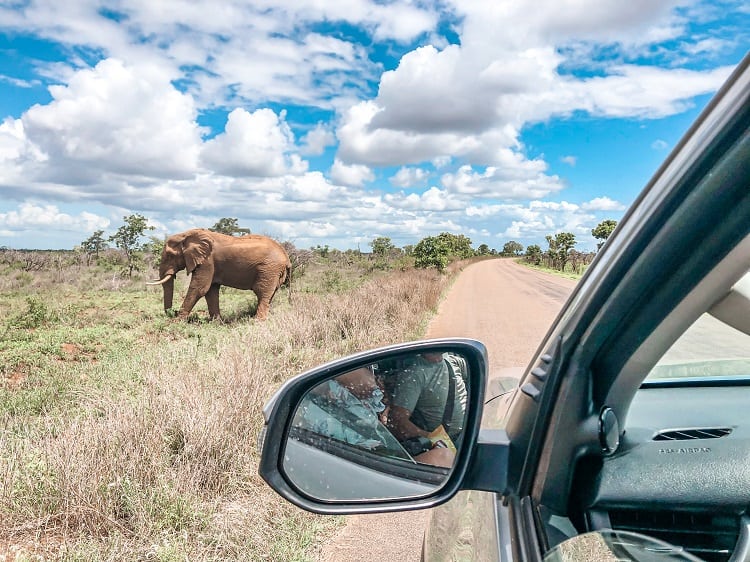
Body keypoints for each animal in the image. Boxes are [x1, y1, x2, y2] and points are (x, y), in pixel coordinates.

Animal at [147, 229, 290, 320]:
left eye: (170, 256)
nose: (173, 312)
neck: (186, 235)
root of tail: (286, 257)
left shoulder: (207, 261)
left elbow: (199, 288)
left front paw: (177, 321)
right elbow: (211, 291)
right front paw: (216, 322)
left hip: (269, 269)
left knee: (262, 293)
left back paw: (257, 322)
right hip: (273, 272)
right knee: (269, 295)